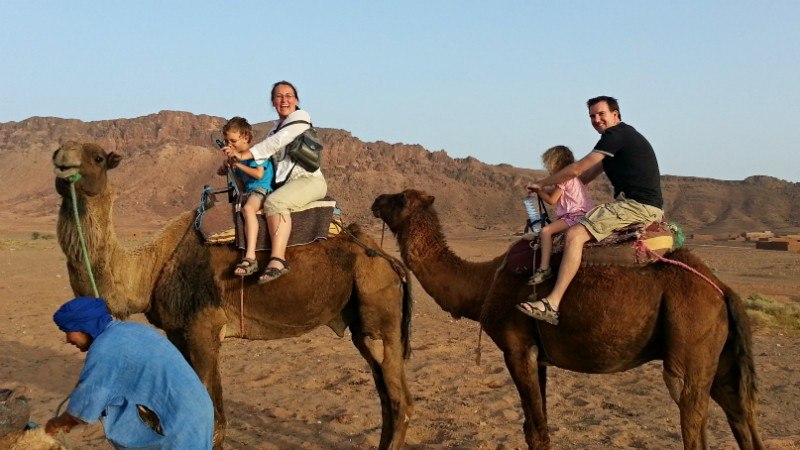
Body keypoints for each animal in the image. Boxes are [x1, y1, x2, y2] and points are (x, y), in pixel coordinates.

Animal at [51, 142, 412, 450]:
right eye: (58, 150)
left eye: (97, 157)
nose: (62, 160)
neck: (153, 265)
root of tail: (387, 258)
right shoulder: (178, 332)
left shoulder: (204, 327)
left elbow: (214, 418)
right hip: (361, 323)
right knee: (386, 395)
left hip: (378, 309)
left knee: (400, 401)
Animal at [372, 189, 764, 450]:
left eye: (399, 198)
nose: (375, 200)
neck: (483, 283)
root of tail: (721, 289)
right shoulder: (537, 354)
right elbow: (536, 424)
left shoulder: (516, 348)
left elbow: (537, 431)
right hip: (718, 355)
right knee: (740, 411)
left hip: (690, 338)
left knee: (690, 410)